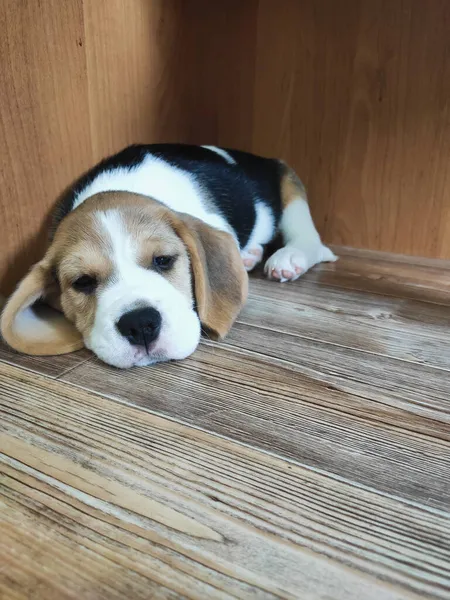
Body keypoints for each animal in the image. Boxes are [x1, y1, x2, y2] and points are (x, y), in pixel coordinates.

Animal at [1, 146, 336, 370]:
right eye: (83, 282)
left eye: (163, 260)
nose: (140, 325)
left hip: (289, 188)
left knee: (313, 242)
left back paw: (287, 258)